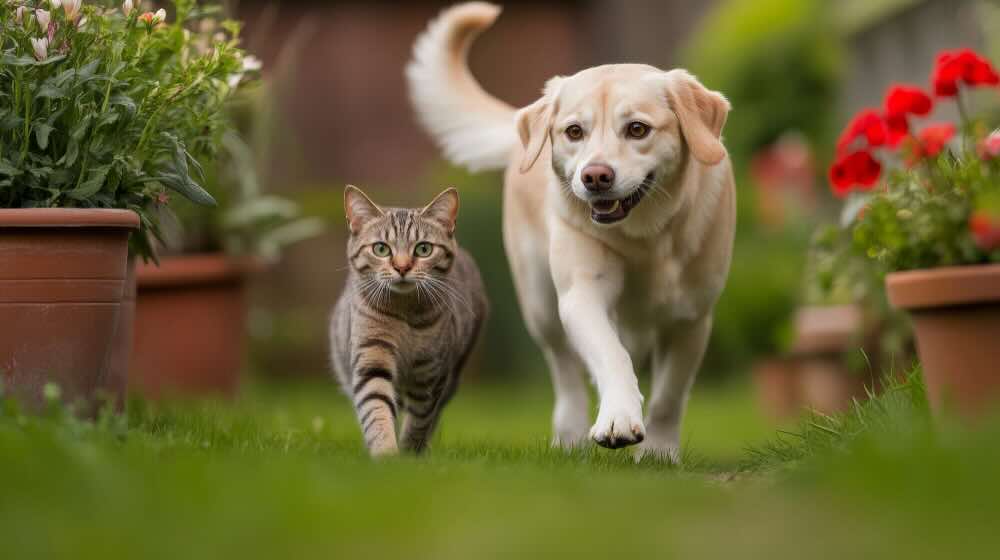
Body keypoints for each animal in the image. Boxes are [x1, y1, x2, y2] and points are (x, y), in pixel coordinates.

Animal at [330, 184, 490, 456]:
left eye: (423, 249)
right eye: (381, 248)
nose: (402, 267)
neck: (404, 316)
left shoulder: (431, 374)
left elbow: (419, 421)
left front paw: (408, 455)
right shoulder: (371, 358)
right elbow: (377, 410)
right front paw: (386, 453)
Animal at [406, 3, 736, 460]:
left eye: (637, 129)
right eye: (574, 132)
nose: (594, 176)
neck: (645, 237)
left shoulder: (691, 319)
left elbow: (670, 395)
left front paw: (658, 450)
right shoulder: (581, 296)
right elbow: (612, 356)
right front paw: (618, 418)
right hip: (541, 305)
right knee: (565, 373)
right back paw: (571, 435)